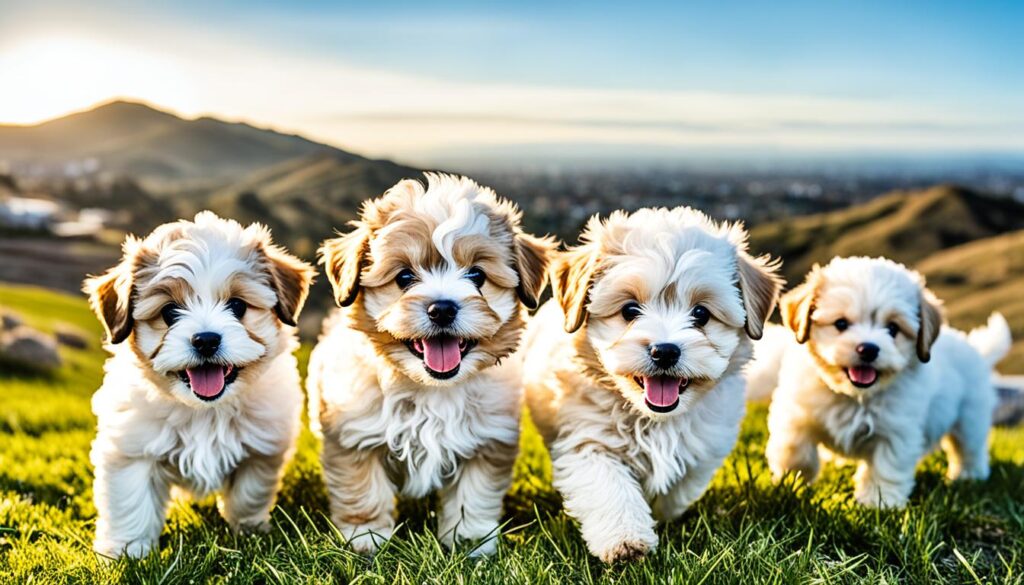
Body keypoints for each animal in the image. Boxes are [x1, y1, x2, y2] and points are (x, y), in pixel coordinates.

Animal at [83, 212, 313, 557]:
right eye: (169, 312)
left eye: (237, 306)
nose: (206, 340)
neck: (206, 412)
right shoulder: (131, 450)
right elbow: (132, 503)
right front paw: (128, 553)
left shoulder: (262, 449)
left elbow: (248, 493)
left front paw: (249, 533)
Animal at [307, 173, 557, 553]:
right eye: (404, 278)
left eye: (477, 276)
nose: (442, 309)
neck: (430, 390)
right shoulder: (354, 436)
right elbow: (364, 490)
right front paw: (367, 539)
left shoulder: (486, 441)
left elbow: (473, 495)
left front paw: (469, 541)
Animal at [524, 207, 778, 565]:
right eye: (630, 310)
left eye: (701, 314)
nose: (665, 351)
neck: (653, 419)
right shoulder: (587, 439)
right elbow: (609, 486)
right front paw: (626, 541)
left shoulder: (705, 446)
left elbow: (678, 487)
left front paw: (661, 515)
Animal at [757, 256, 1011, 508]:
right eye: (841, 324)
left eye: (892, 328)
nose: (868, 349)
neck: (855, 396)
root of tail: (974, 348)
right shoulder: (796, 414)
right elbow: (796, 450)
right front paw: (791, 483)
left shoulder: (897, 431)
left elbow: (886, 467)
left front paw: (878, 502)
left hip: (971, 418)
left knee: (969, 448)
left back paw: (969, 475)